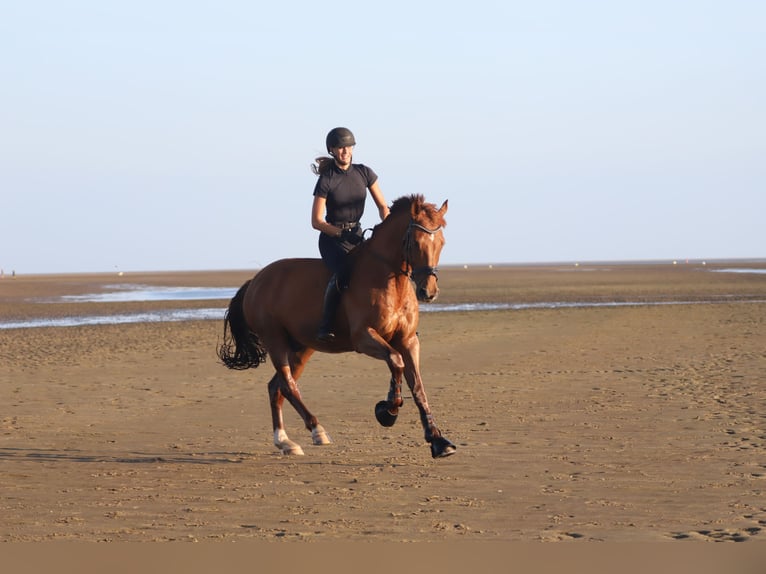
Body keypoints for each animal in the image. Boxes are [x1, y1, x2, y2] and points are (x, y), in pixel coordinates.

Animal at [217, 194, 456, 458]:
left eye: (441, 242)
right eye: (414, 242)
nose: (428, 292)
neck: (392, 282)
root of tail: (255, 281)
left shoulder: (408, 341)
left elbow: (417, 386)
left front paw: (437, 440)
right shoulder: (364, 337)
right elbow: (396, 361)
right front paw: (388, 411)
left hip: (302, 347)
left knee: (276, 387)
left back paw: (284, 441)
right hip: (275, 340)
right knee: (287, 386)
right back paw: (316, 430)